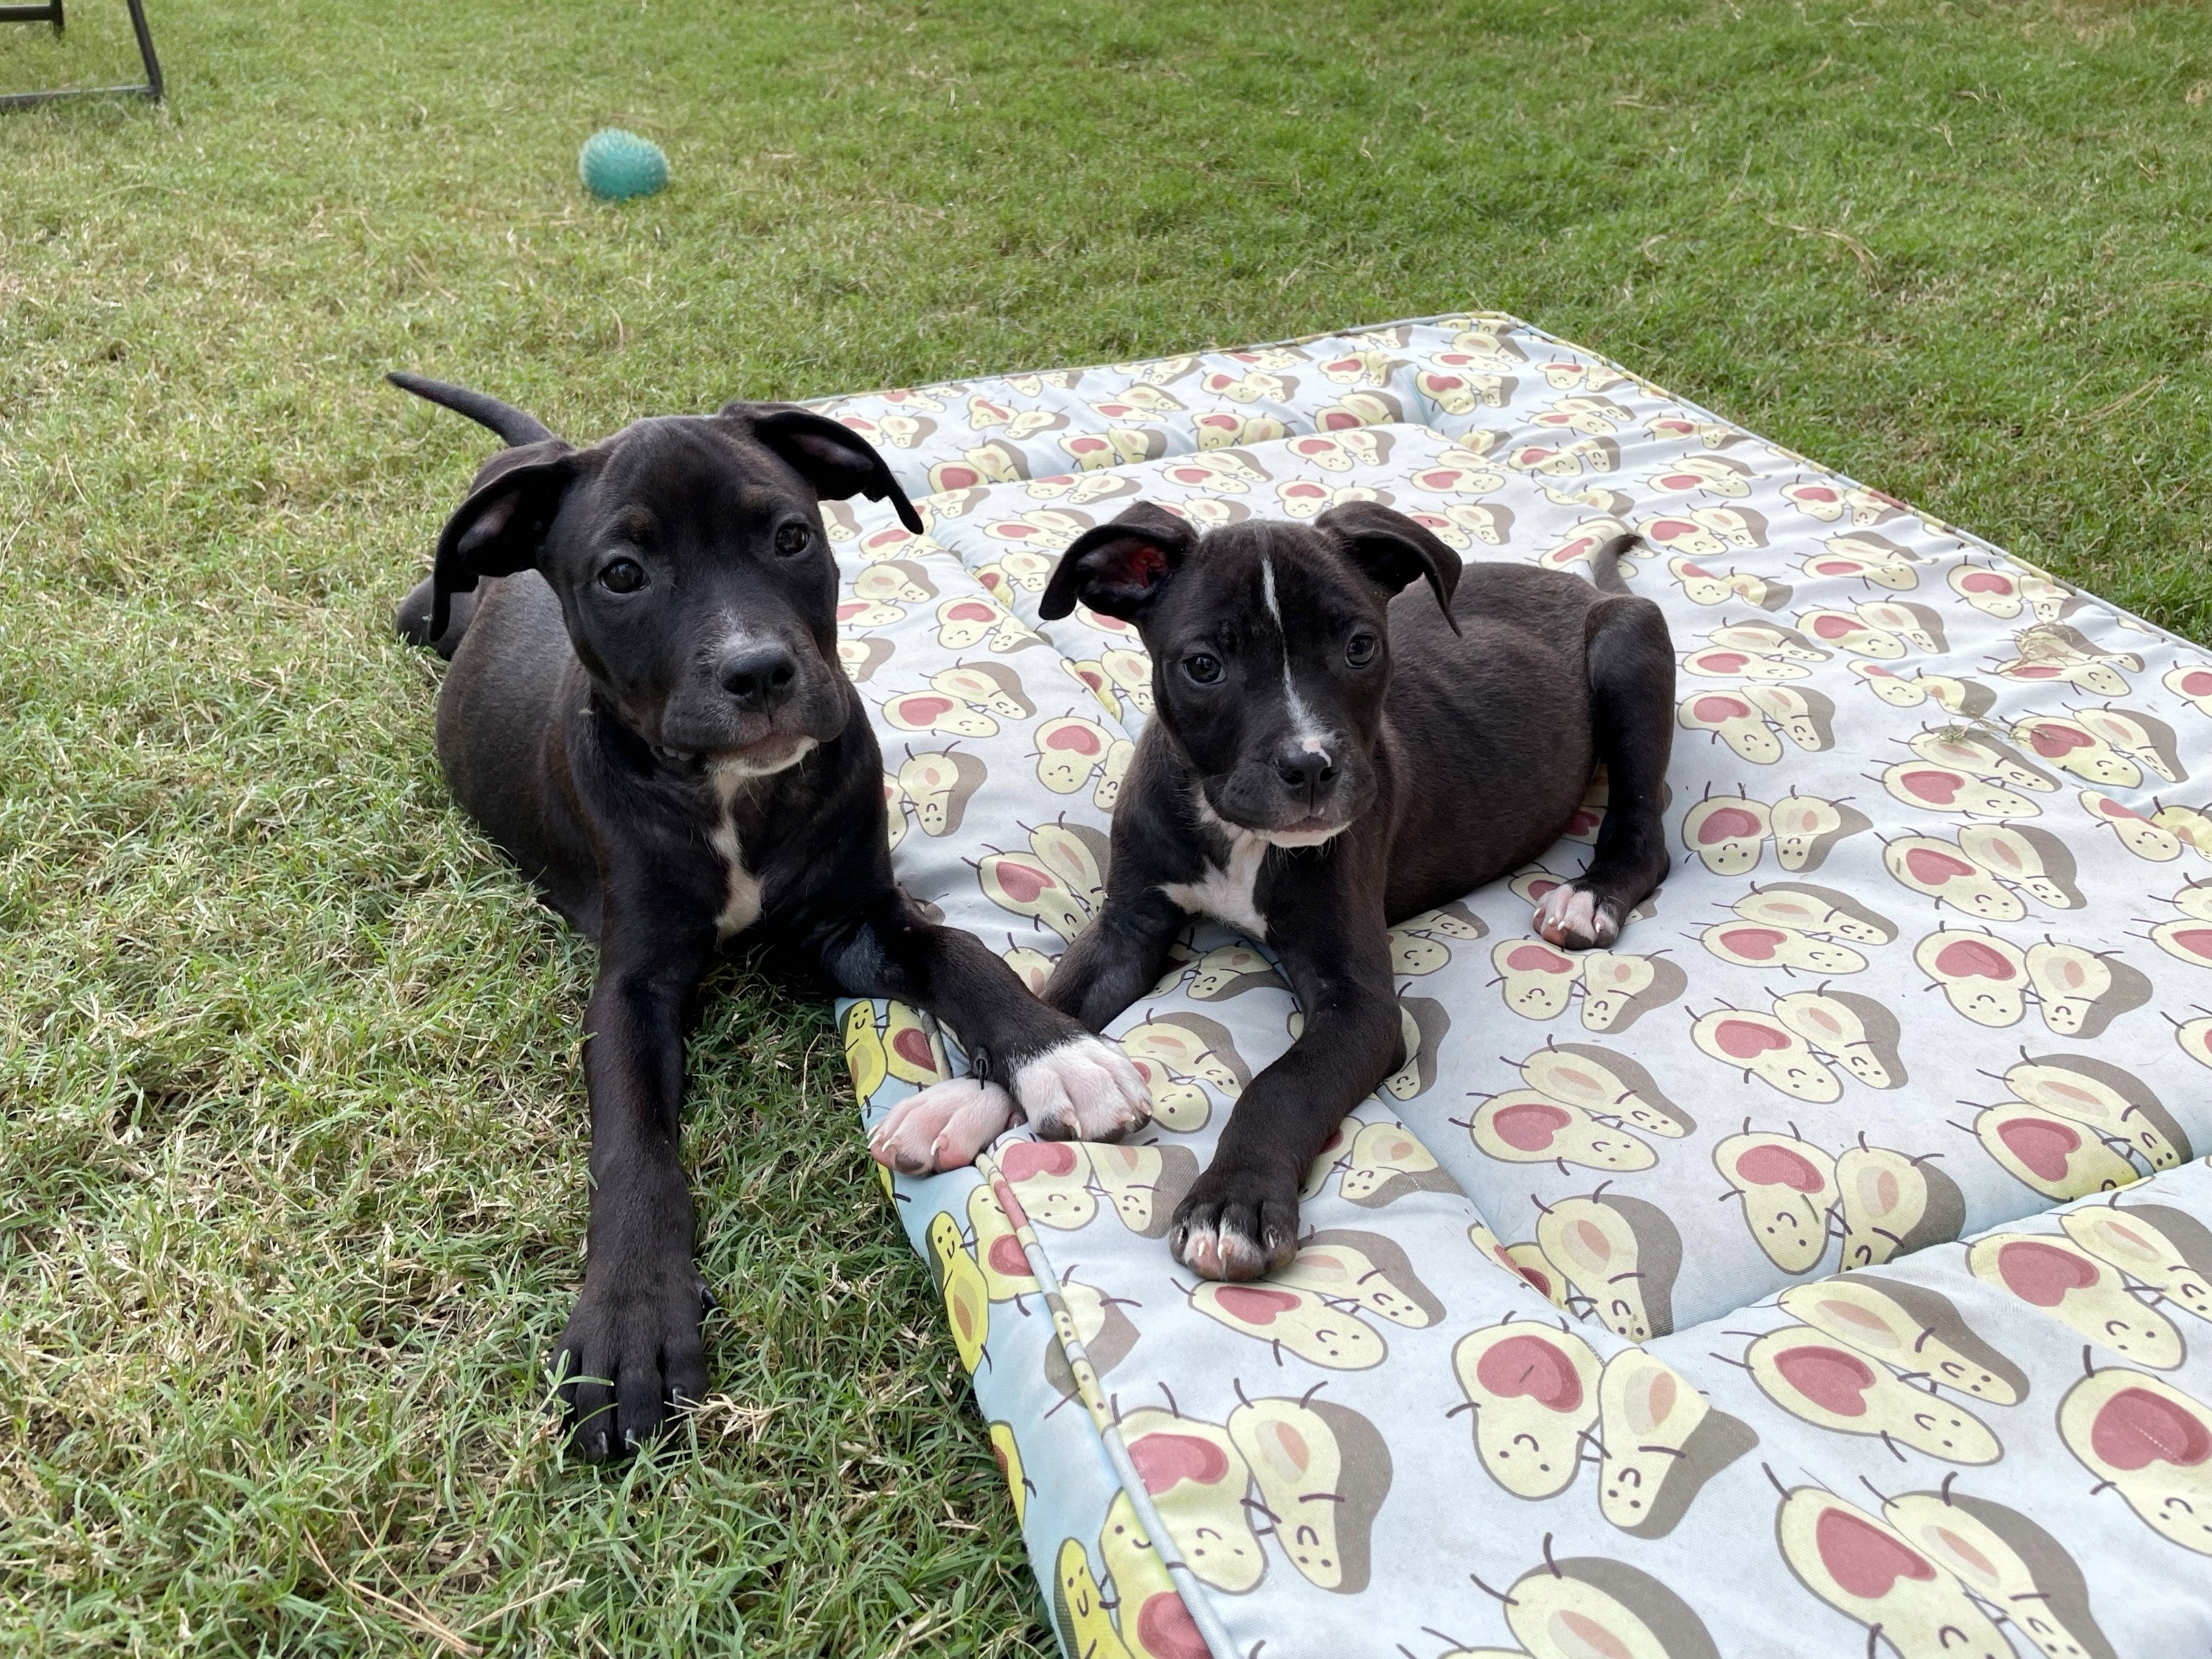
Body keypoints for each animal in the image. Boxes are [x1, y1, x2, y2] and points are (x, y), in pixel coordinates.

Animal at [387, 374, 1141, 1451]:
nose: (759, 672)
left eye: (790, 536)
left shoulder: (857, 923)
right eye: (622, 575)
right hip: (425, 614)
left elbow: (964, 957)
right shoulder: (633, 984)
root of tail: (537, 451)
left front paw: (1059, 1053)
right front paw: (631, 1316)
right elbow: (632, 1139)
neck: (734, 793)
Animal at [1035, 507, 1672, 1283]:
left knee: (1643, 831)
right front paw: (1000, 1089)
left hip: (1630, 653)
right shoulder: (1127, 926)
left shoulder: (1359, 1007)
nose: (1310, 767)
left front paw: (1231, 1203)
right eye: (1204, 666)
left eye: (1361, 647)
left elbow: (1283, 1083)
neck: (1235, 832)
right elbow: (1054, 1000)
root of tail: (1583, 586)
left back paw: (1588, 899)